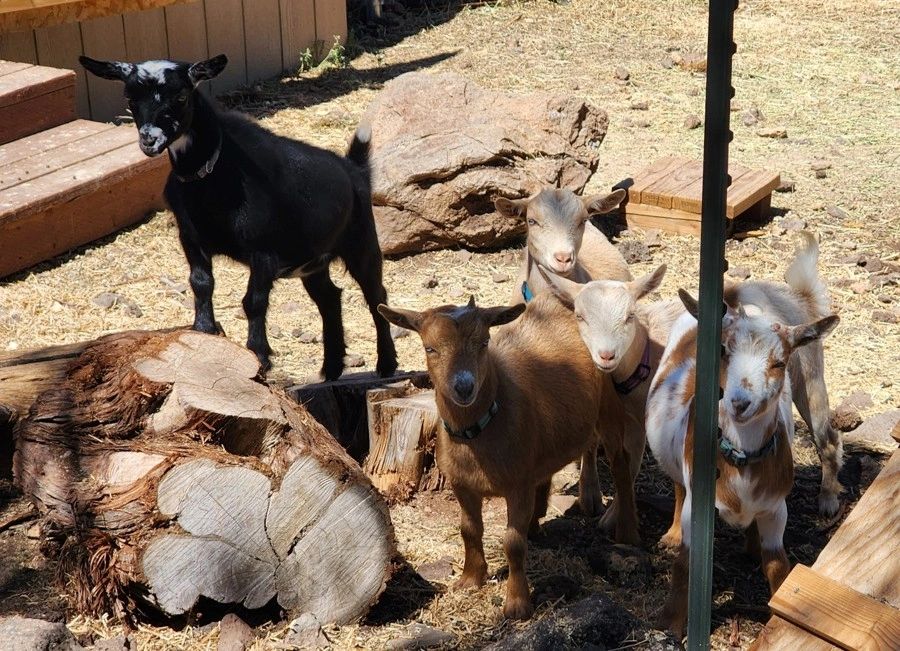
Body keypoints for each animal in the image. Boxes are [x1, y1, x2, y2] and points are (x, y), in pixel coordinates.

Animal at [79, 54, 397, 379]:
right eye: (130, 97)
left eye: (181, 96)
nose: (150, 141)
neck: (215, 176)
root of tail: (354, 169)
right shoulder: (191, 239)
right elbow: (201, 283)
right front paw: (203, 332)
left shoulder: (263, 251)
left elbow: (253, 302)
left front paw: (258, 355)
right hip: (313, 262)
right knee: (330, 298)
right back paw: (330, 370)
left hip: (362, 242)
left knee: (377, 297)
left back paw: (386, 365)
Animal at [378, 293, 635, 619]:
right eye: (429, 348)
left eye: (484, 342)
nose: (464, 387)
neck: (480, 429)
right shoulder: (462, 484)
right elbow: (469, 529)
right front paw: (470, 579)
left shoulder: (517, 485)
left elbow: (513, 543)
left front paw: (516, 604)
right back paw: (538, 523)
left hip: (609, 403)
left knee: (620, 463)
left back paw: (625, 530)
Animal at [647, 292, 838, 638]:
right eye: (723, 351)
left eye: (779, 363)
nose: (739, 403)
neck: (741, 463)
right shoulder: (698, 505)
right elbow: (685, 562)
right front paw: (669, 625)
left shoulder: (776, 508)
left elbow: (778, 566)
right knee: (678, 486)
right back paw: (671, 535)